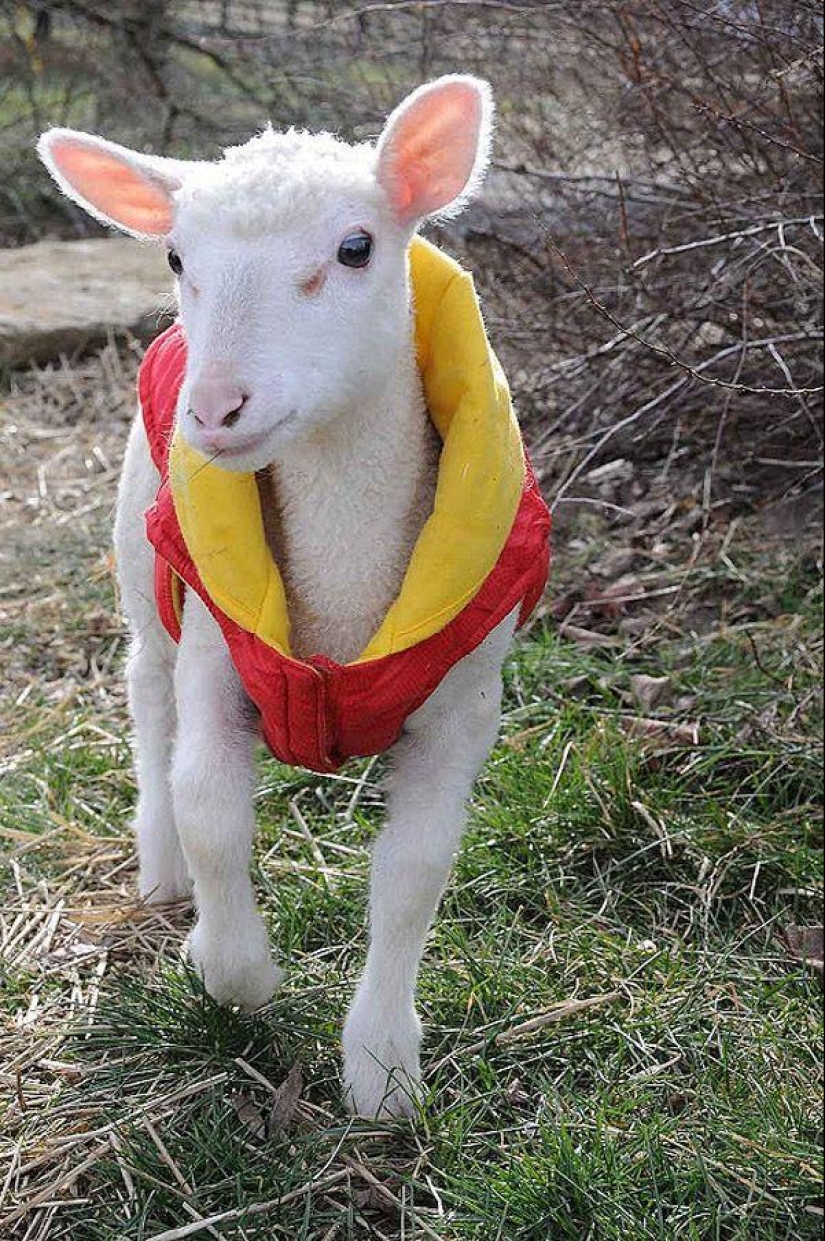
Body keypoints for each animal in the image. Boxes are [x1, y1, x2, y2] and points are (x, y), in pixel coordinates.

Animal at [37, 75, 550, 1120]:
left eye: (356, 248)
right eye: (176, 257)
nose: (214, 410)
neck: (342, 598)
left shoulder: (466, 701)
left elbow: (414, 869)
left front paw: (383, 1066)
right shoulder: (215, 648)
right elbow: (207, 806)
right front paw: (232, 970)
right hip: (145, 563)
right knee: (146, 700)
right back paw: (161, 871)